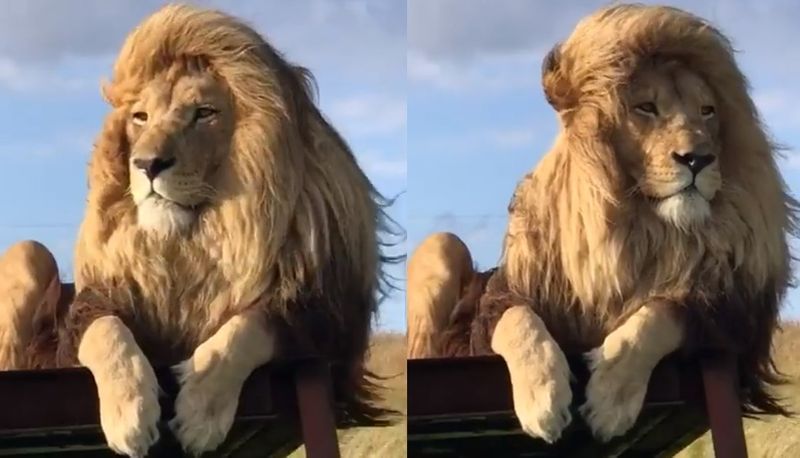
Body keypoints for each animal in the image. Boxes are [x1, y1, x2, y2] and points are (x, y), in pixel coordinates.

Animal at [0, 2, 400, 454]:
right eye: (141, 117)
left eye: (204, 114)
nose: (147, 164)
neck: (195, 238)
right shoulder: (93, 305)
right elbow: (107, 332)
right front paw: (129, 416)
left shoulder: (323, 323)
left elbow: (246, 328)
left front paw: (200, 412)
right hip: (28, 252)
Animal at [410, 3, 796, 446]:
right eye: (646, 108)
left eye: (708, 111)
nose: (697, 159)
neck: (643, 230)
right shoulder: (493, 308)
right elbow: (518, 320)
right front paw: (543, 398)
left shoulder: (725, 318)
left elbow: (658, 314)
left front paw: (612, 395)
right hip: (442, 243)